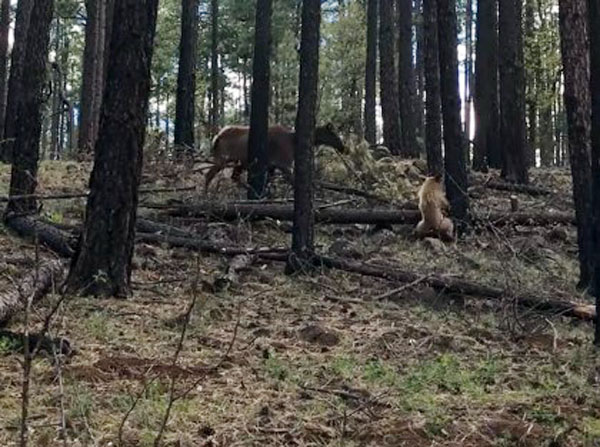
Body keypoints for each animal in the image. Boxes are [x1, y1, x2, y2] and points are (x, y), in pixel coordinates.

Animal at [205, 122, 344, 191]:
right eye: (333, 134)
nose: (343, 147)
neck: (293, 142)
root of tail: (216, 137)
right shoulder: (284, 164)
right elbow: (293, 183)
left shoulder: (272, 166)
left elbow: (270, 183)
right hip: (223, 158)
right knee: (209, 175)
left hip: (239, 162)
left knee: (234, 177)